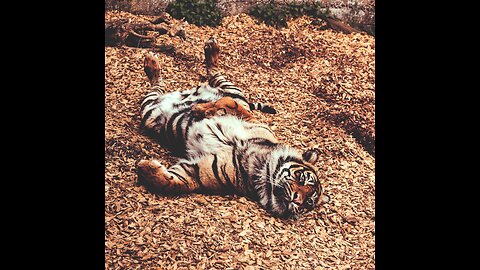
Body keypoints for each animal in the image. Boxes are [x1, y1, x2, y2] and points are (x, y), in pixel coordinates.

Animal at [137, 37, 328, 219]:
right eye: (302, 179)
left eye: (308, 203)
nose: (297, 200)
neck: (260, 165)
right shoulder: (252, 119)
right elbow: (230, 103)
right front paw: (201, 109)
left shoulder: (197, 172)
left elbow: (173, 183)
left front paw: (146, 168)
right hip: (228, 90)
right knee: (211, 75)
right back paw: (159, 61)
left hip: (150, 110)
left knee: (160, 87)